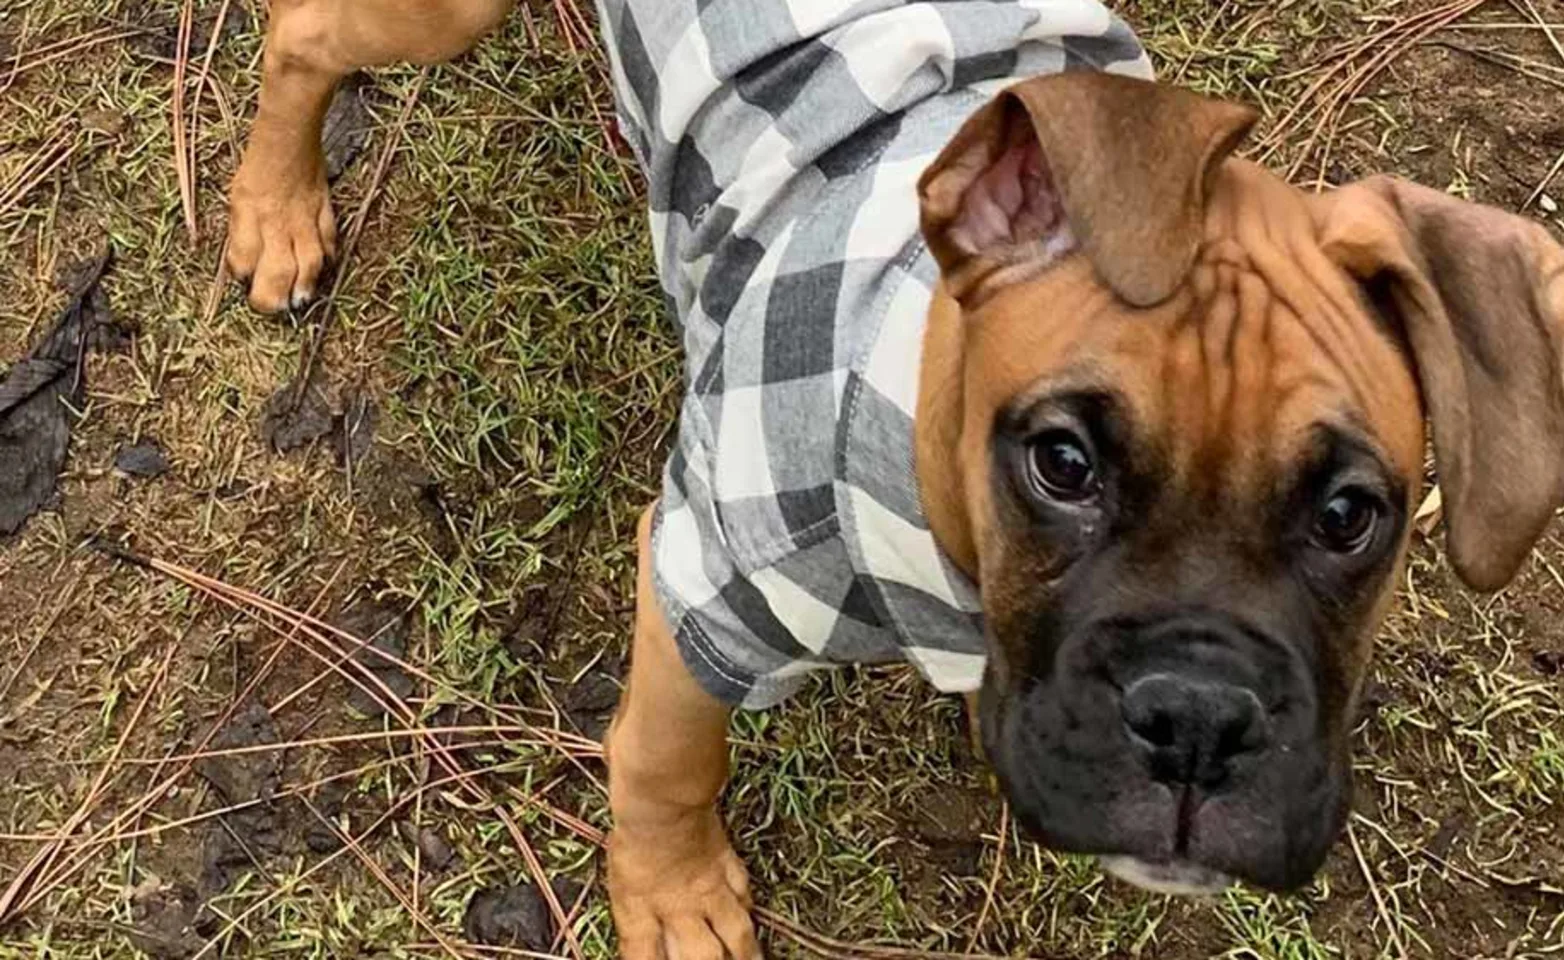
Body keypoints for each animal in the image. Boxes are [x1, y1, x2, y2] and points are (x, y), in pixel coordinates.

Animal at [226, 1, 1564, 960]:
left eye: (1350, 516)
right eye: (1061, 462)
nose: (1198, 723)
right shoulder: (709, 587)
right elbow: (667, 760)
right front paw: (672, 894)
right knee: (304, 35)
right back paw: (276, 209)